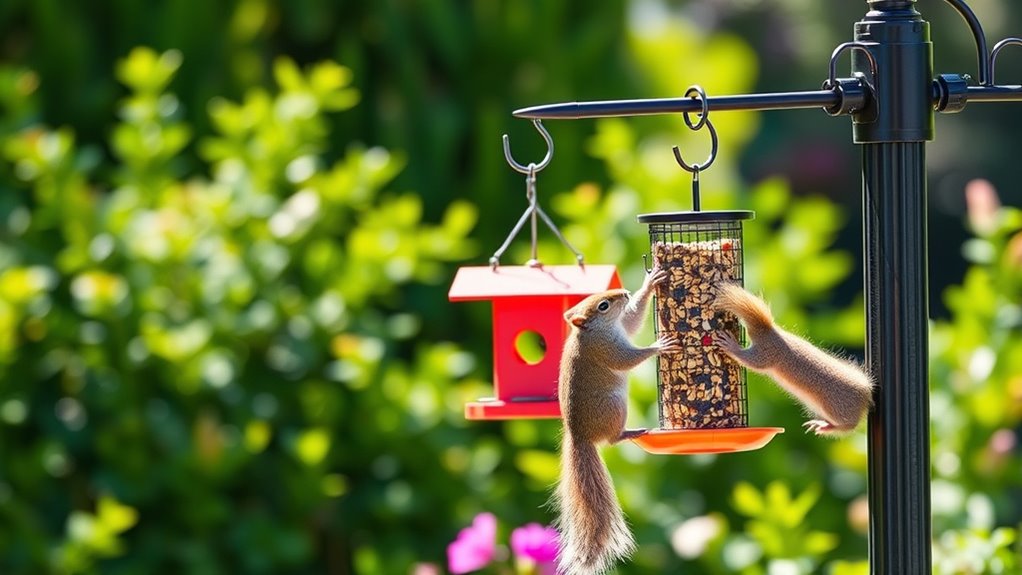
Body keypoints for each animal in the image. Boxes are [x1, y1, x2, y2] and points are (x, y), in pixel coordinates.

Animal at [554, 267, 681, 575]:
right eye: (603, 305)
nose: (623, 292)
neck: (594, 331)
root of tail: (580, 435)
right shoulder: (607, 349)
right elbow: (627, 359)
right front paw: (659, 345)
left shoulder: (624, 328)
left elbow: (633, 319)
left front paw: (650, 283)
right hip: (615, 408)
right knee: (612, 440)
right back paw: (631, 432)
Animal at [711, 283, 875, 435]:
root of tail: (865, 397)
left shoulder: (766, 353)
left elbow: (750, 360)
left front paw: (731, 346)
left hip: (836, 409)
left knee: (847, 426)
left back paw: (825, 426)